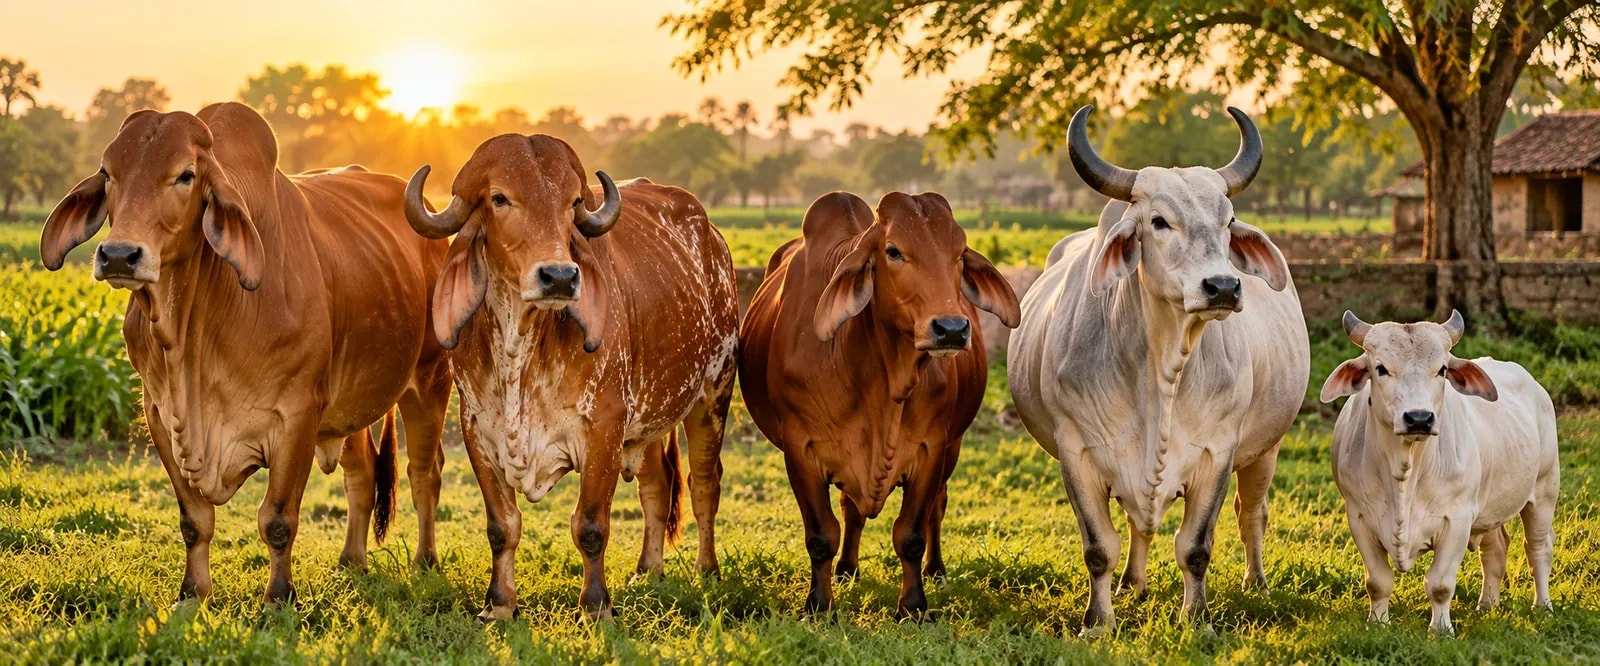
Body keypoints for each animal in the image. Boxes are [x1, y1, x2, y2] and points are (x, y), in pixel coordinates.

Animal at [38, 102, 453, 606]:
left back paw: (425, 562)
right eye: (108, 172)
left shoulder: (298, 415)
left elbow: (277, 520)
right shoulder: (160, 414)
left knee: (424, 473)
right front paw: (193, 593)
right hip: (351, 402)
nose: (119, 255)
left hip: (430, 380)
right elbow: (194, 521)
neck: (192, 336)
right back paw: (350, 561)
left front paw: (279, 597)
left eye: (186, 175)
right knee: (363, 472)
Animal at [401, 134, 739, 621]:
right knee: (657, 486)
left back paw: (706, 571)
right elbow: (502, 527)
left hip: (713, 393)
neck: (519, 350)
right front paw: (499, 604)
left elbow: (591, 526)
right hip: (649, 421)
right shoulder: (477, 431)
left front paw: (596, 605)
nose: (559, 276)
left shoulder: (603, 429)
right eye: (499, 198)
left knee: (704, 485)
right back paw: (648, 572)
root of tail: (712, 237)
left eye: (572, 202)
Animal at [738, 191, 1021, 618]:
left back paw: (936, 570)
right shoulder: (800, 448)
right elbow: (821, 535)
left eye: (959, 253)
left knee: (937, 506)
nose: (952, 329)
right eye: (893, 251)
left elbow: (911, 534)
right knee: (850, 509)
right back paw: (846, 569)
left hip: (953, 447)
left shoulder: (931, 448)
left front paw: (914, 606)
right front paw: (819, 605)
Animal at [1006, 105, 1309, 633]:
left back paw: (1257, 582)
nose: (1223, 286)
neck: (1161, 367)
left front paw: (1198, 618)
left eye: (1228, 220)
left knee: (1252, 513)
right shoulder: (1076, 452)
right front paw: (1098, 620)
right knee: (1137, 523)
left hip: (1267, 448)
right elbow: (1099, 548)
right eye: (1159, 221)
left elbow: (1196, 547)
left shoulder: (1218, 452)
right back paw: (1134, 583)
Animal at [1319, 310, 1558, 634]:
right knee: (1495, 549)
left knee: (1538, 549)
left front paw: (1441, 629)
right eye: (1380, 368)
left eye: (1442, 370)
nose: (1419, 418)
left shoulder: (1457, 519)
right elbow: (1378, 582)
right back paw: (1487, 605)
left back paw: (1543, 606)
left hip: (1544, 492)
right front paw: (1378, 623)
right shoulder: (1358, 517)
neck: (1404, 470)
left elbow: (1440, 585)